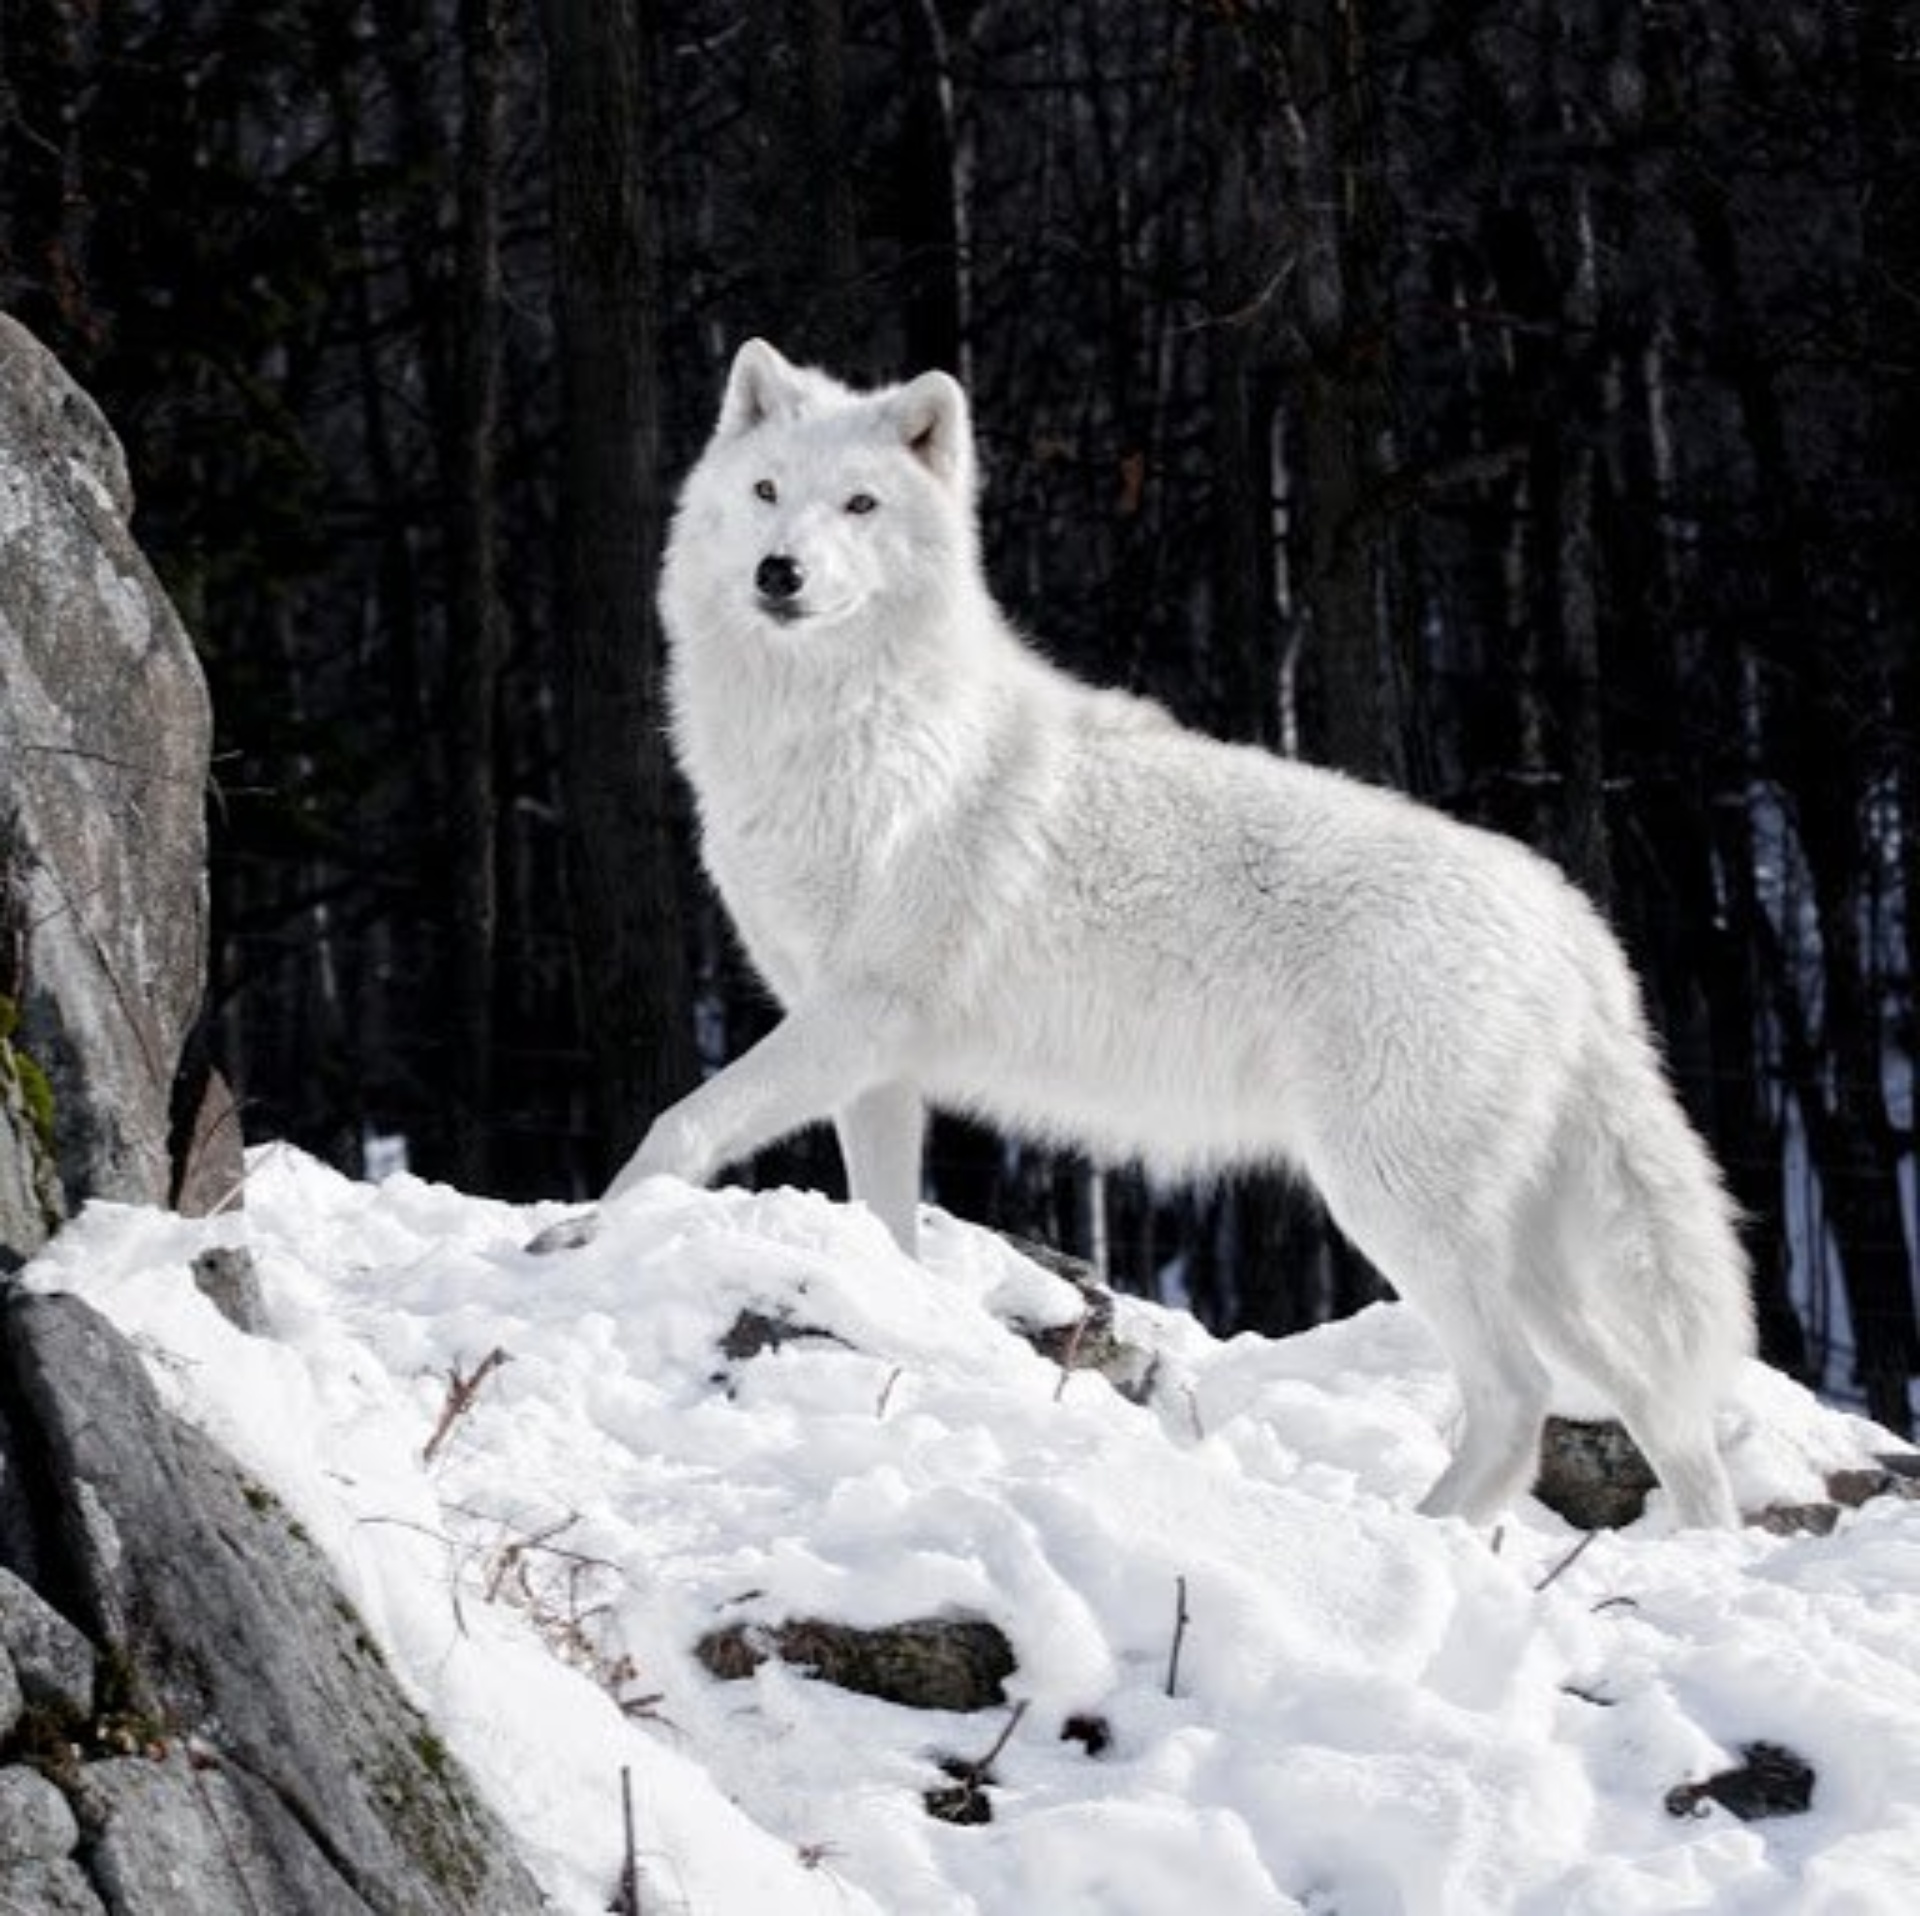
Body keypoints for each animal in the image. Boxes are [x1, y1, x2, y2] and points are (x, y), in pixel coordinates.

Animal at [610, 341, 1758, 1528]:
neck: (845, 734)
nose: (779, 572)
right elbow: (883, 1223)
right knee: (1659, 1406)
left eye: (861, 504)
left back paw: (1414, 1536)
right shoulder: (872, 1063)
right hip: (1523, 1253)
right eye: (766, 491)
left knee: (1519, 1398)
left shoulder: (857, 1017)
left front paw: (592, 1235)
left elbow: (678, 1128)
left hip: (1393, 1204)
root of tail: (1573, 923)